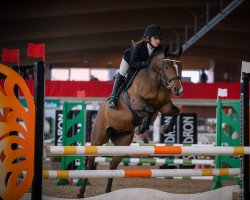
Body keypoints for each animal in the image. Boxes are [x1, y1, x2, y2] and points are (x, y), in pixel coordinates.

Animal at [78, 46, 184, 198]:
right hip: (98, 139)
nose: (178, 89)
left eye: (180, 67)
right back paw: (80, 193)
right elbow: (150, 109)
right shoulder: (136, 103)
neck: (156, 83)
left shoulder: (165, 106)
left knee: (112, 166)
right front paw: (142, 127)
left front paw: (166, 128)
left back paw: (108, 192)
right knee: (89, 165)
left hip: (123, 142)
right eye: (166, 66)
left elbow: (175, 111)